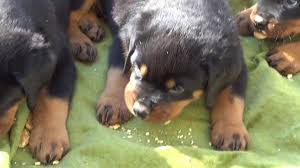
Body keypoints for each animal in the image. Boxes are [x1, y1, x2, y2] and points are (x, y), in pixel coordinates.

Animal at [97, 0, 250, 151]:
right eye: (139, 70)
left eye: (177, 89)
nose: (139, 111)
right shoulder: (121, 41)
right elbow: (119, 71)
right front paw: (113, 104)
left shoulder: (236, 64)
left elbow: (231, 96)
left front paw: (231, 131)